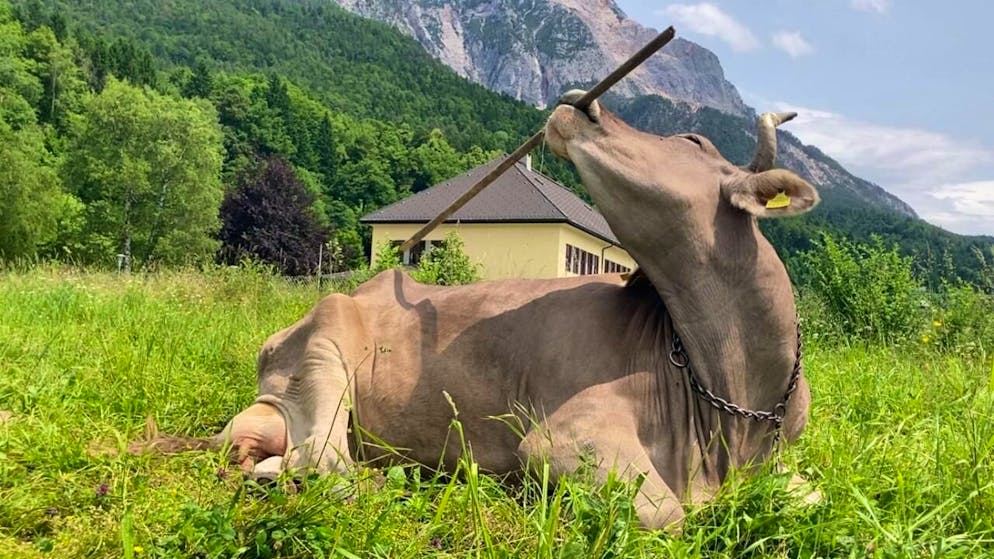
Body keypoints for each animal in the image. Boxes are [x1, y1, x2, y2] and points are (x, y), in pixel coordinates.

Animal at [136, 92, 819, 531]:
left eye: (690, 140)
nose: (580, 100)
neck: (732, 401)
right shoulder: (561, 438)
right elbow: (669, 515)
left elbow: (809, 497)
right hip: (325, 348)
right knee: (323, 463)